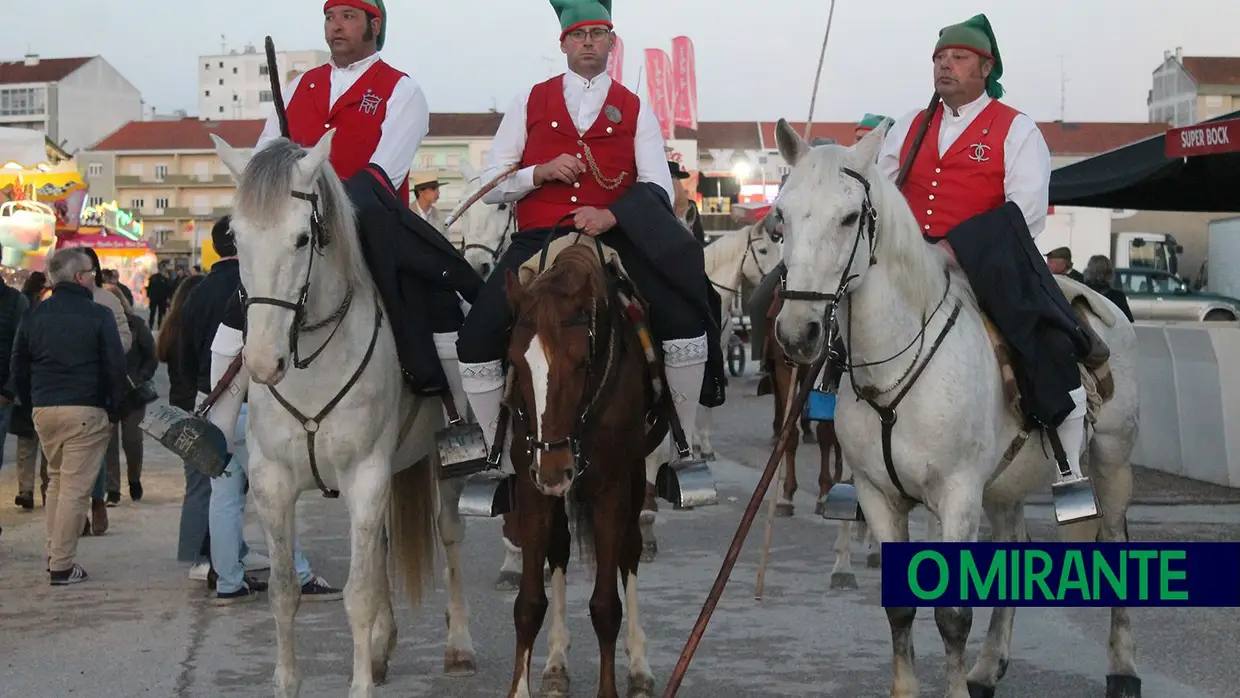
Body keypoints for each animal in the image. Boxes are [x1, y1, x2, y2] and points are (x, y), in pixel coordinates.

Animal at [213, 132, 478, 698]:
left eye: (301, 240)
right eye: (237, 239)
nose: (262, 363)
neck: (312, 359)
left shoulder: (366, 476)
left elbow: (357, 595)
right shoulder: (272, 483)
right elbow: (284, 591)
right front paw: (291, 682)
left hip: (440, 470)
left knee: (448, 536)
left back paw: (459, 646)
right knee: (378, 553)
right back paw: (380, 648)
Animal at [500, 244, 664, 698]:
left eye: (579, 362)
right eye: (516, 363)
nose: (555, 469)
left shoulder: (610, 490)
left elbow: (606, 605)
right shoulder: (533, 490)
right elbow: (528, 605)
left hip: (632, 480)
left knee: (629, 553)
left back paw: (639, 667)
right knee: (558, 550)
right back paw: (556, 663)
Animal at [773, 121, 1140, 698]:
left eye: (850, 217)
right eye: (782, 217)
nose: (797, 332)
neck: (899, 359)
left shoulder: (958, 493)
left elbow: (952, 615)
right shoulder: (880, 496)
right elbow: (900, 608)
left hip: (1111, 460)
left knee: (1116, 543)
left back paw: (1122, 669)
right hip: (1006, 485)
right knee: (1014, 544)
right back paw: (988, 667)